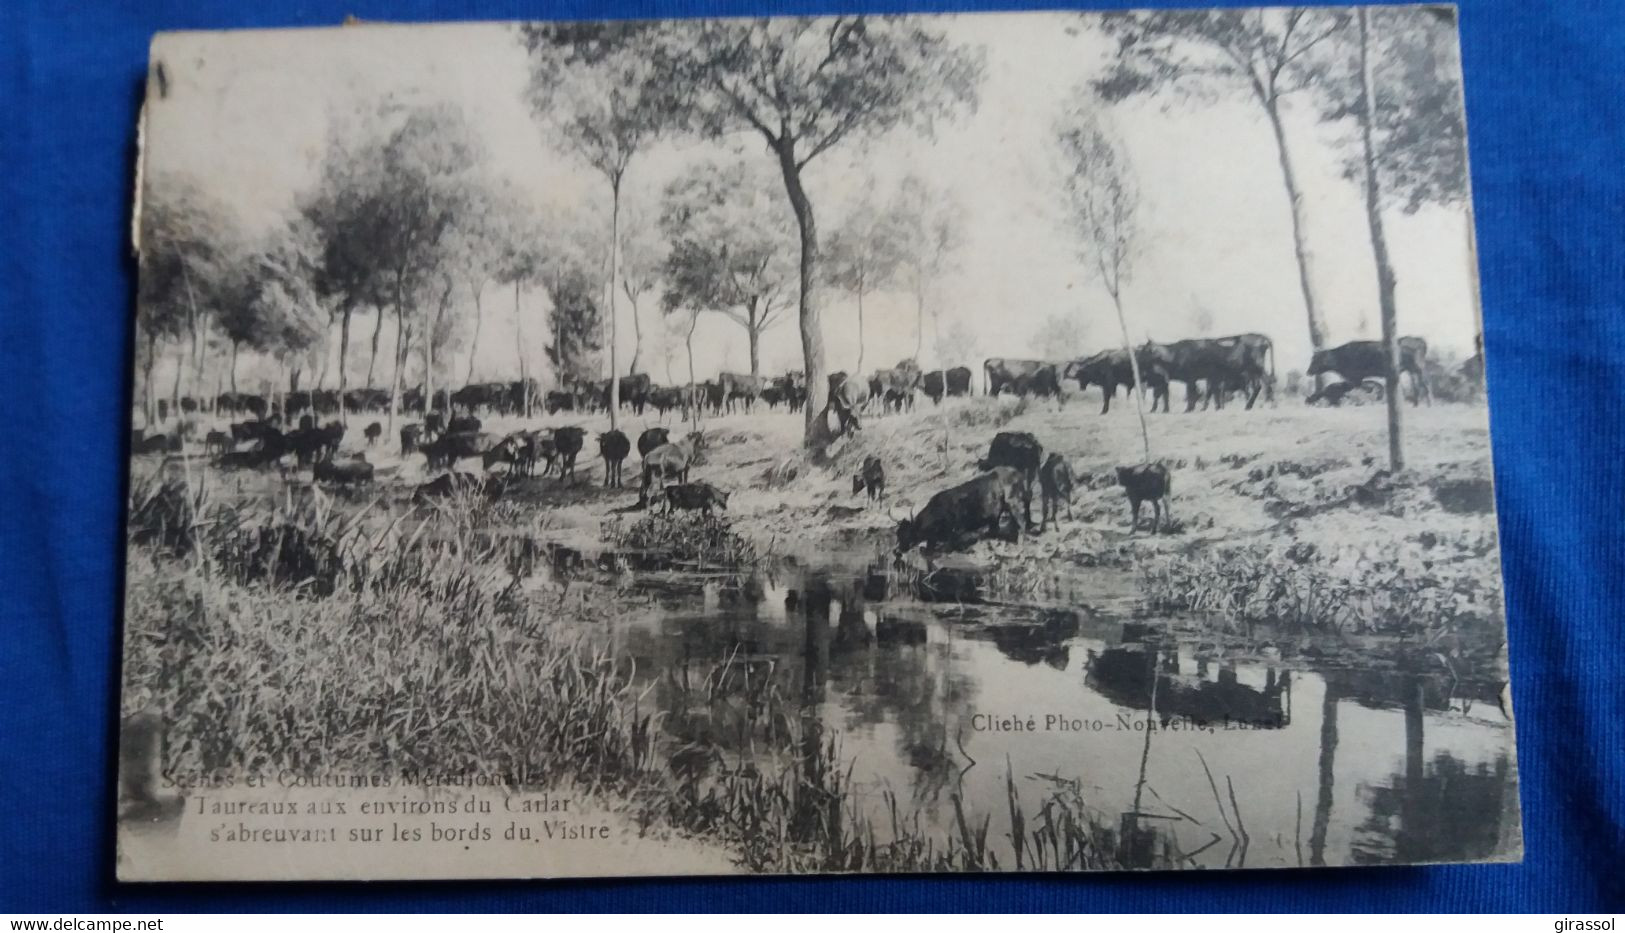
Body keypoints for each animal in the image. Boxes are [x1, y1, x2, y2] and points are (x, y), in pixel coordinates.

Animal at [1306, 338, 1436, 407]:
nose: (1308, 371)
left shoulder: (1355, 378)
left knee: (1425, 384)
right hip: (1412, 370)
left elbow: (1357, 387)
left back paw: (1429, 405)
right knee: (1418, 386)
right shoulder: (1355, 378)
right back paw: (1416, 404)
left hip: (1418, 368)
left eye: (1316, 359)